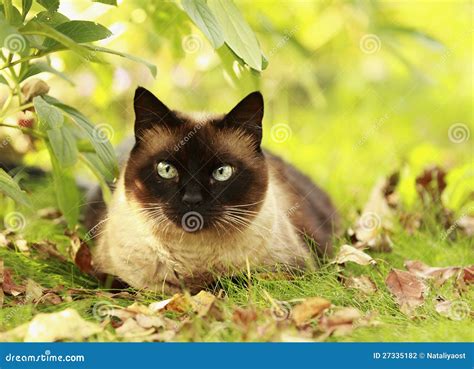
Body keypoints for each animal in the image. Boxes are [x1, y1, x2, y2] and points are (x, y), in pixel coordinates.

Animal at [87, 87, 338, 292]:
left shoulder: (291, 270)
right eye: (166, 170)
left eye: (222, 172)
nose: (192, 199)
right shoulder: (107, 276)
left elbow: (228, 282)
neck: (193, 259)